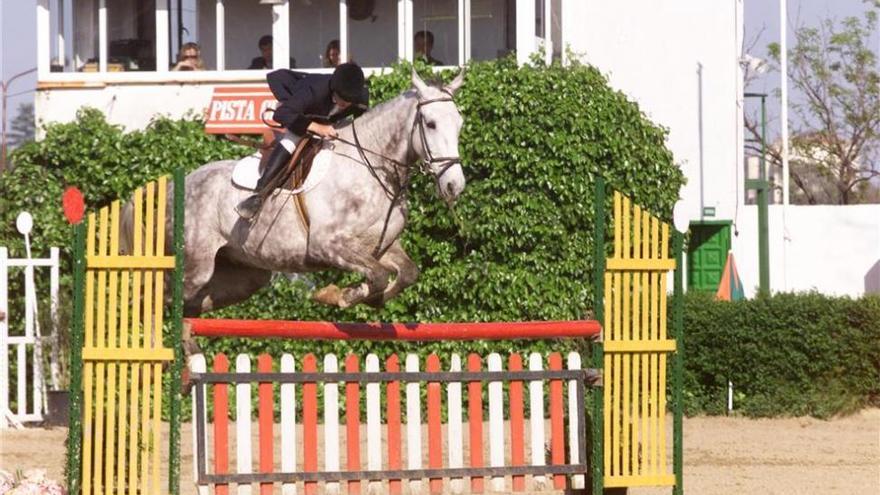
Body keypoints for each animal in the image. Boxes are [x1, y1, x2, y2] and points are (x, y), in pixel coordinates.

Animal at [130, 70, 468, 318]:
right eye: (430, 124)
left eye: (460, 123)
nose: (455, 185)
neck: (371, 167)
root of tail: (178, 184)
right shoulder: (326, 245)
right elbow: (377, 276)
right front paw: (338, 295)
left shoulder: (380, 247)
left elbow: (406, 273)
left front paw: (365, 298)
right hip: (195, 267)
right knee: (157, 299)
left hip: (242, 275)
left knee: (193, 306)